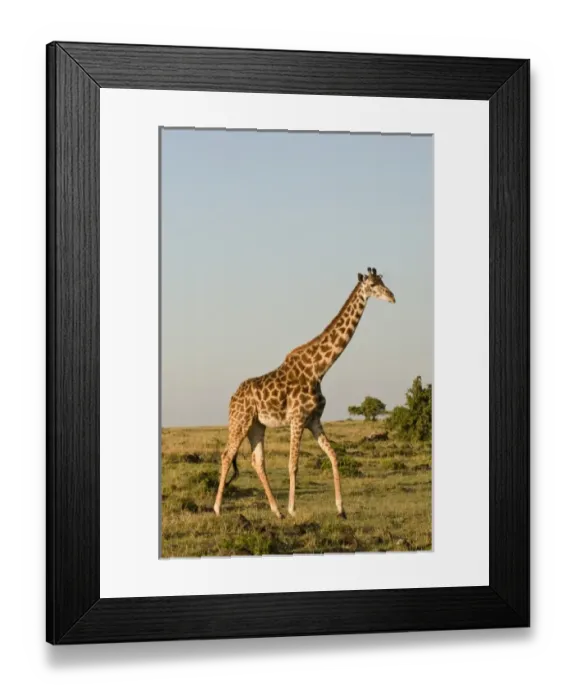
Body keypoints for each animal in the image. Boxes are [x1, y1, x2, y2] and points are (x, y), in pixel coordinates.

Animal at [213, 267, 396, 519]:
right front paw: (292, 509)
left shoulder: (314, 420)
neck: (319, 370)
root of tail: (232, 398)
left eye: (382, 281)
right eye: (372, 285)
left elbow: (333, 456)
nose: (392, 297)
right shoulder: (297, 418)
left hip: (256, 425)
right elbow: (293, 464)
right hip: (240, 421)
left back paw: (275, 510)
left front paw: (341, 508)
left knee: (257, 461)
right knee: (226, 455)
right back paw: (218, 508)